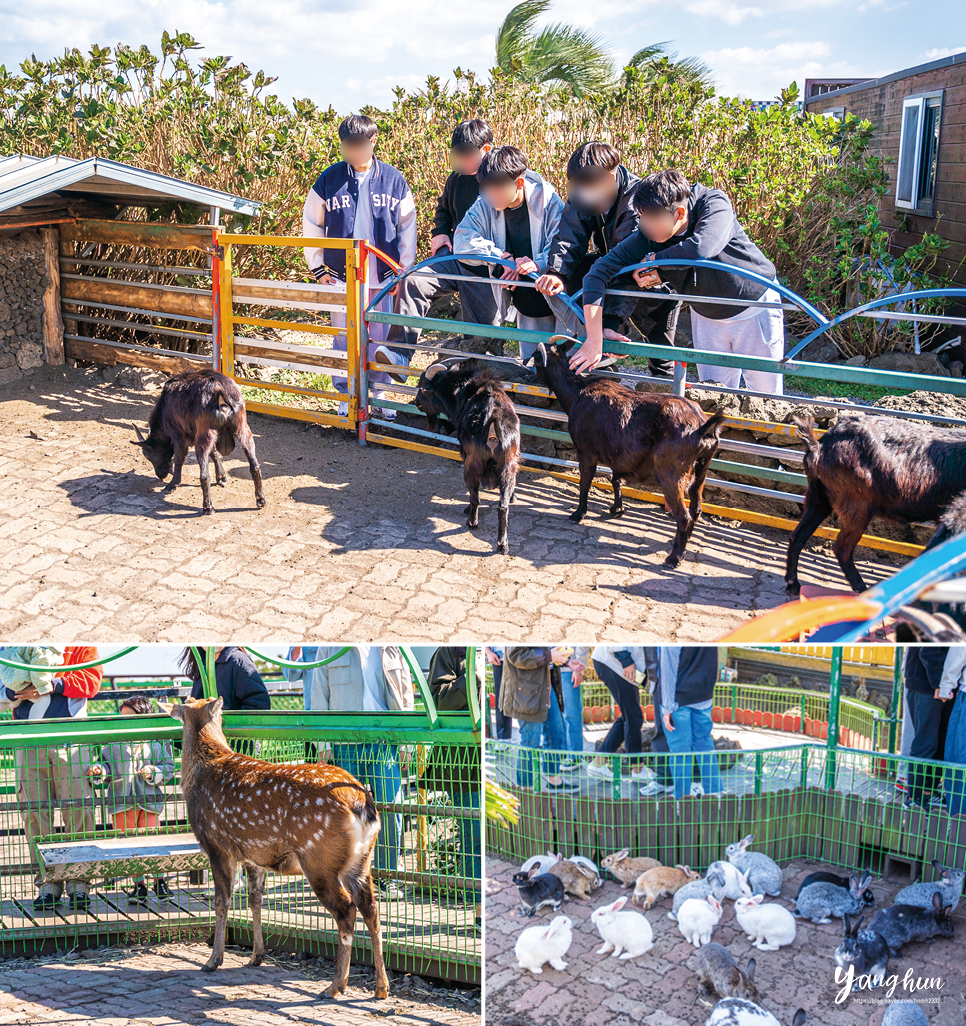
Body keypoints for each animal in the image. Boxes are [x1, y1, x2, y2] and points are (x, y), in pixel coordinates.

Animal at [132, 369, 266, 513]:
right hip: (242, 427)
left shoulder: (179, 435)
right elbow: (215, 454)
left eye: (148, 455)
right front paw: (221, 477)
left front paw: (172, 484)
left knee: (204, 474)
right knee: (254, 465)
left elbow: (179, 460)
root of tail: (219, 393)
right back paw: (260, 499)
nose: (161, 475)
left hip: (203, 435)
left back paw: (208, 507)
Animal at [159, 693, 389, 997]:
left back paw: (335, 986)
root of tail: (362, 805)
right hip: (362, 860)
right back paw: (381, 988)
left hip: (319, 860)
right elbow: (255, 900)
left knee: (346, 910)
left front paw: (213, 960)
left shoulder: (216, 846)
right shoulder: (254, 855)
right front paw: (256, 955)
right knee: (370, 909)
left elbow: (222, 901)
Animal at [414, 359, 520, 554]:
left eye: (422, 387)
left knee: (475, 496)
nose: (417, 403)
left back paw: (472, 522)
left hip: (472, 464)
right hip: (507, 466)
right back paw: (503, 545)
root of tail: (493, 420)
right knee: (502, 506)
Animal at [529, 338, 726, 570]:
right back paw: (682, 546)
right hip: (701, 469)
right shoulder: (619, 456)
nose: (524, 362)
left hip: (672, 473)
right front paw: (617, 509)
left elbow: (585, 482)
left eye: (535, 355)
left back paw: (674, 558)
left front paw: (578, 514)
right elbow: (616, 480)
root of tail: (703, 427)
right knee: (696, 509)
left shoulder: (586, 451)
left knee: (683, 516)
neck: (578, 392)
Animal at [791, 412, 966, 595]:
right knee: (842, 548)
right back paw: (862, 588)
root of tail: (818, 446)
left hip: (818, 497)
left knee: (798, 536)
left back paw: (793, 584)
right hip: (856, 505)